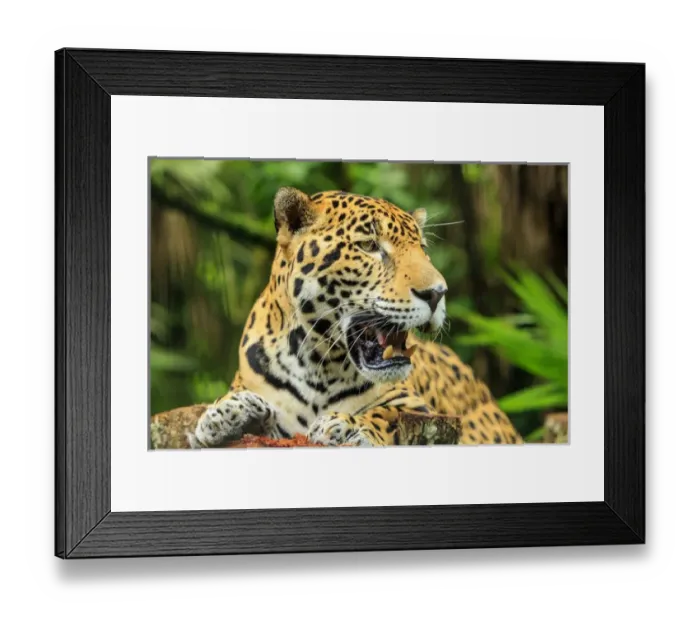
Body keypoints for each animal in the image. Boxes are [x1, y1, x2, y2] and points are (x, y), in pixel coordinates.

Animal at [189, 187, 524, 449]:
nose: (437, 293)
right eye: (369, 246)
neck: (317, 364)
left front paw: (347, 426)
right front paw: (224, 414)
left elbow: (386, 414)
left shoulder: (418, 409)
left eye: (422, 249)